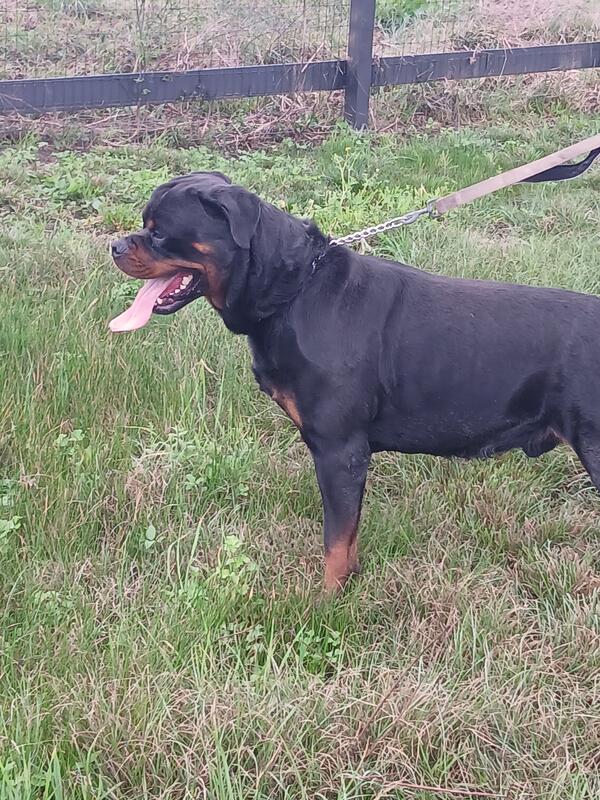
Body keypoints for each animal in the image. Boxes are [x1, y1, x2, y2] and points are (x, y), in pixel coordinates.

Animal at [110, 171, 600, 592]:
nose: (115, 245)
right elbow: (348, 538)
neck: (295, 291)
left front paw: (326, 601)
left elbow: (335, 541)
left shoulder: (339, 450)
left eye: (158, 232)